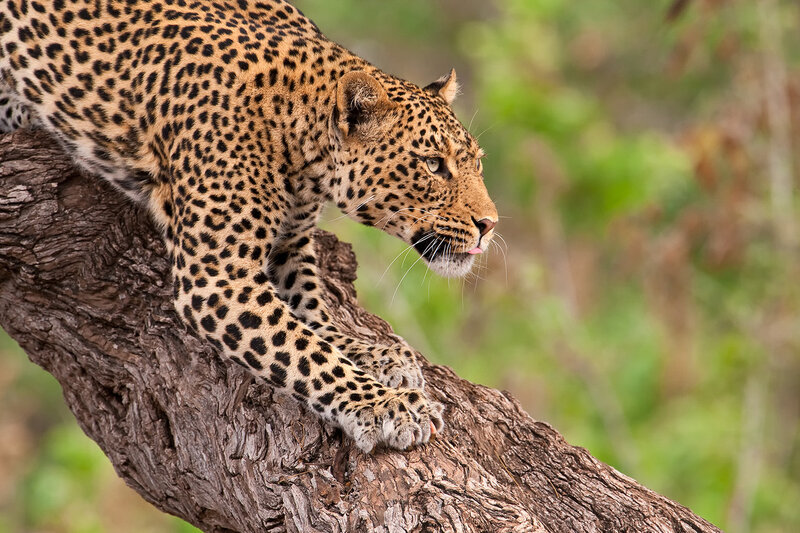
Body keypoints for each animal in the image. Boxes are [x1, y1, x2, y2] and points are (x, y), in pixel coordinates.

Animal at [0, 0, 498, 453]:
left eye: (477, 162)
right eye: (433, 165)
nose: (489, 225)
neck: (304, 147)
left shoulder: (289, 249)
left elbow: (316, 320)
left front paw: (377, 354)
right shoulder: (219, 276)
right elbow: (305, 352)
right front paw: (387, 405)